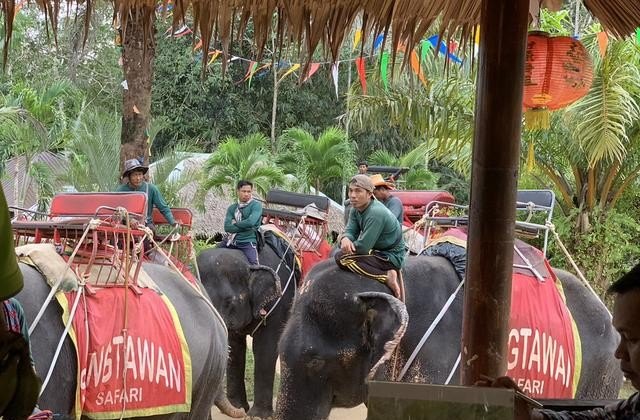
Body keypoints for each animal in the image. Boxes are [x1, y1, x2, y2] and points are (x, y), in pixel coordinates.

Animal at [198, 241, 298, 420]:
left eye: (229, 301)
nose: (241, 414)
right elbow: (235, 349)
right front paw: (239, 407)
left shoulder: (278, 302)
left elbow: (265, 348)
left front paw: (257, 416)